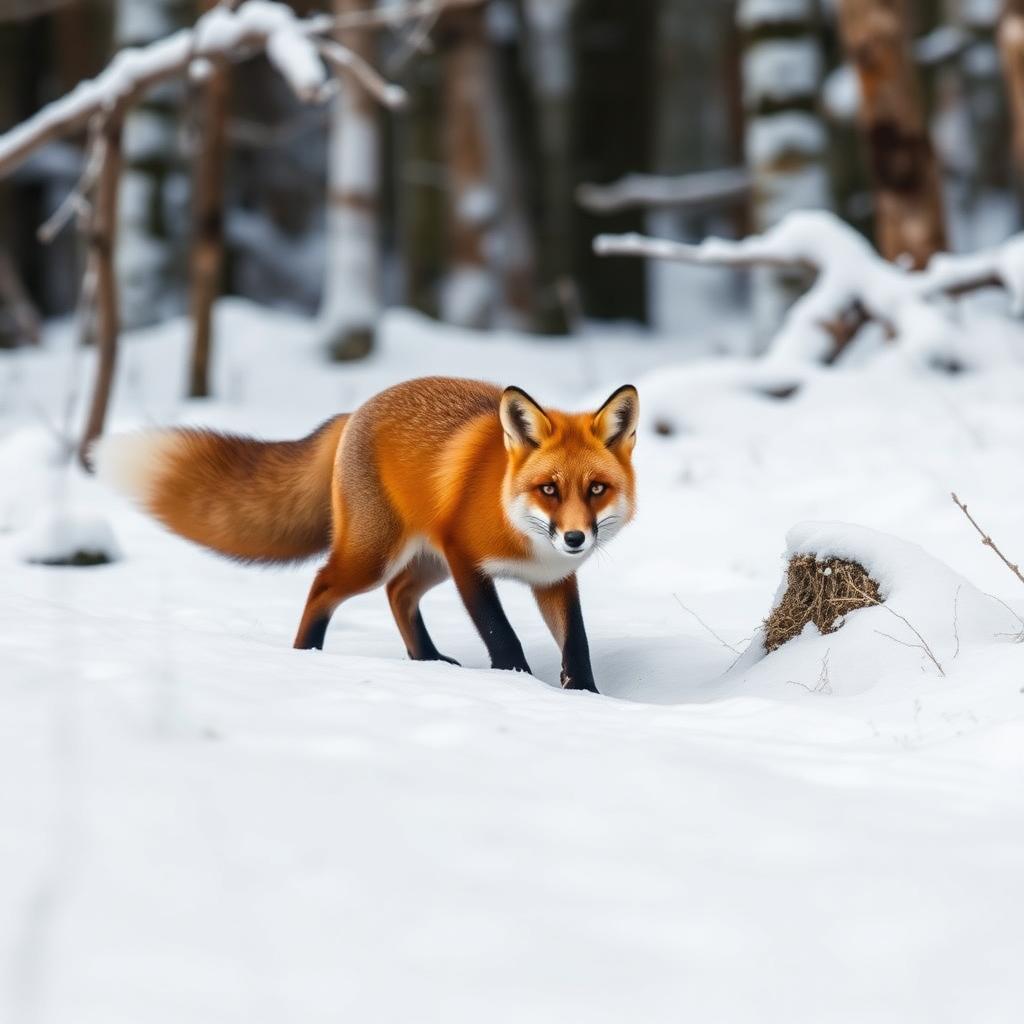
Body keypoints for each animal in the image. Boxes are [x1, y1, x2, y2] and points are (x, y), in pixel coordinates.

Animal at [94, 376, 639, 693]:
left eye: (596, 489)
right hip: (375, 556)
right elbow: (499, 634)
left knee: (398, 593)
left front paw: (586, 696)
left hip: (424, 562)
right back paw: (307, 656)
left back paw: (426, 661)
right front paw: (520, 687)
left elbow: (577, 643)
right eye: (549, 489)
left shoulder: (554, 579)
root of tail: (354, 411)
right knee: (323, 585)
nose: (574, 539)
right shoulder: (466, 560)